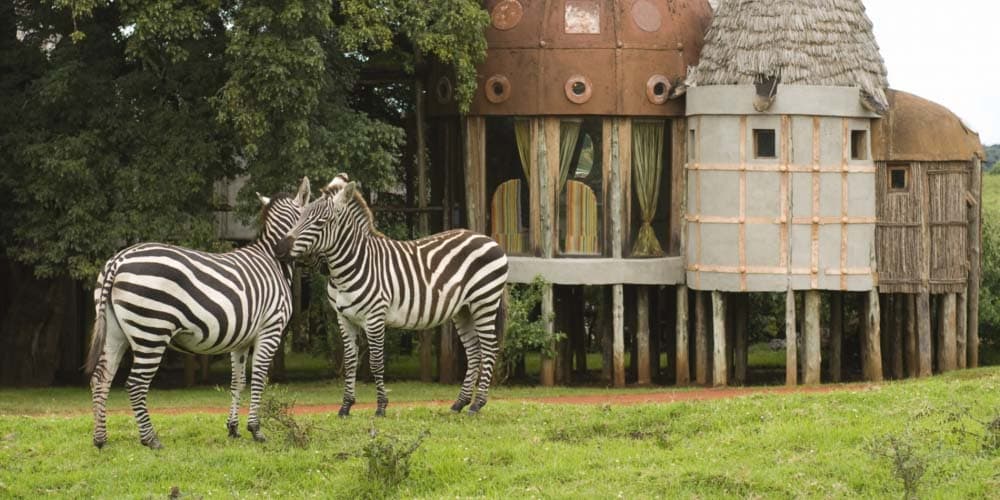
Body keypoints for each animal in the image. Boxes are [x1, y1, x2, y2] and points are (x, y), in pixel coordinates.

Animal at [84, 177, 311, 449]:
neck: (273, 261)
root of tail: (118, 260)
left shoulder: (241, 339)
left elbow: (237, 382)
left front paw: (233, 428)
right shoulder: (271, 328)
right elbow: (258, 378)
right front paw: (256, 430)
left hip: (114, 330)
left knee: (101, 378)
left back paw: (100, 439)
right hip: (152, 331)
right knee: (136, 383)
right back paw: (151, 439)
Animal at [276, 175, 508, 416]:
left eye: (320, 223)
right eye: (299, 217)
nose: (279, 248)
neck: (353, 264)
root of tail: (488, 239)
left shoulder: (375, 317)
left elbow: (377, 362)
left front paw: (380, 407)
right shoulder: (344, 318)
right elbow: (350, 361)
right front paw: (346, 406)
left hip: (484, 302)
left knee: (489, 349)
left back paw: (476, 404)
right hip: (463, 310)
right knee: (474, 351)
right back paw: (459, 403)